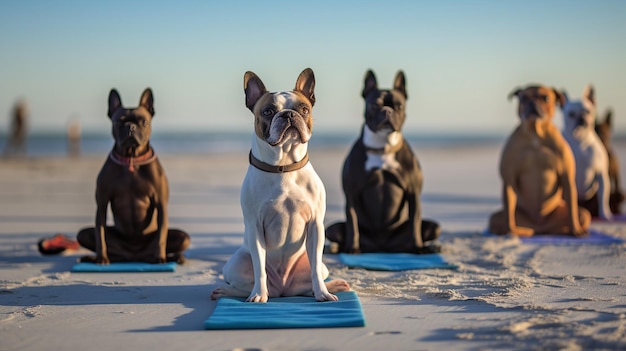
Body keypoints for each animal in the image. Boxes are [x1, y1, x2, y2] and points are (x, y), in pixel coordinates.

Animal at [76, 88, 188, 264]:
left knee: (179, 238)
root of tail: (134, 257)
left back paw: (175, 257)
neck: (131, 158)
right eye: (118, 122)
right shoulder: (101, 204)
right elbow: (100, 234)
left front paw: (160, 257)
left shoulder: (161, 204)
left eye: (144, 121)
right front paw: (101, 257)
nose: (130, 126)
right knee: (91, 236)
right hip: (87, 236)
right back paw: (91, 258)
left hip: (183, 237)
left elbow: (161, 236)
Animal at [488, 85, 588, 236]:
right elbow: (508, 212)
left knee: (579, 213)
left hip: (580, 213)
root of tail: (539, 228)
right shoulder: (508, 179)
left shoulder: (567, 177)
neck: (536, 132)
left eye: (545, 98)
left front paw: (575, 230)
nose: (532, 103)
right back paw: (517, 231)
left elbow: (572, 208)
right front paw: (510, 231)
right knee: (502, 218)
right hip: (498, 217)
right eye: (523, 98)